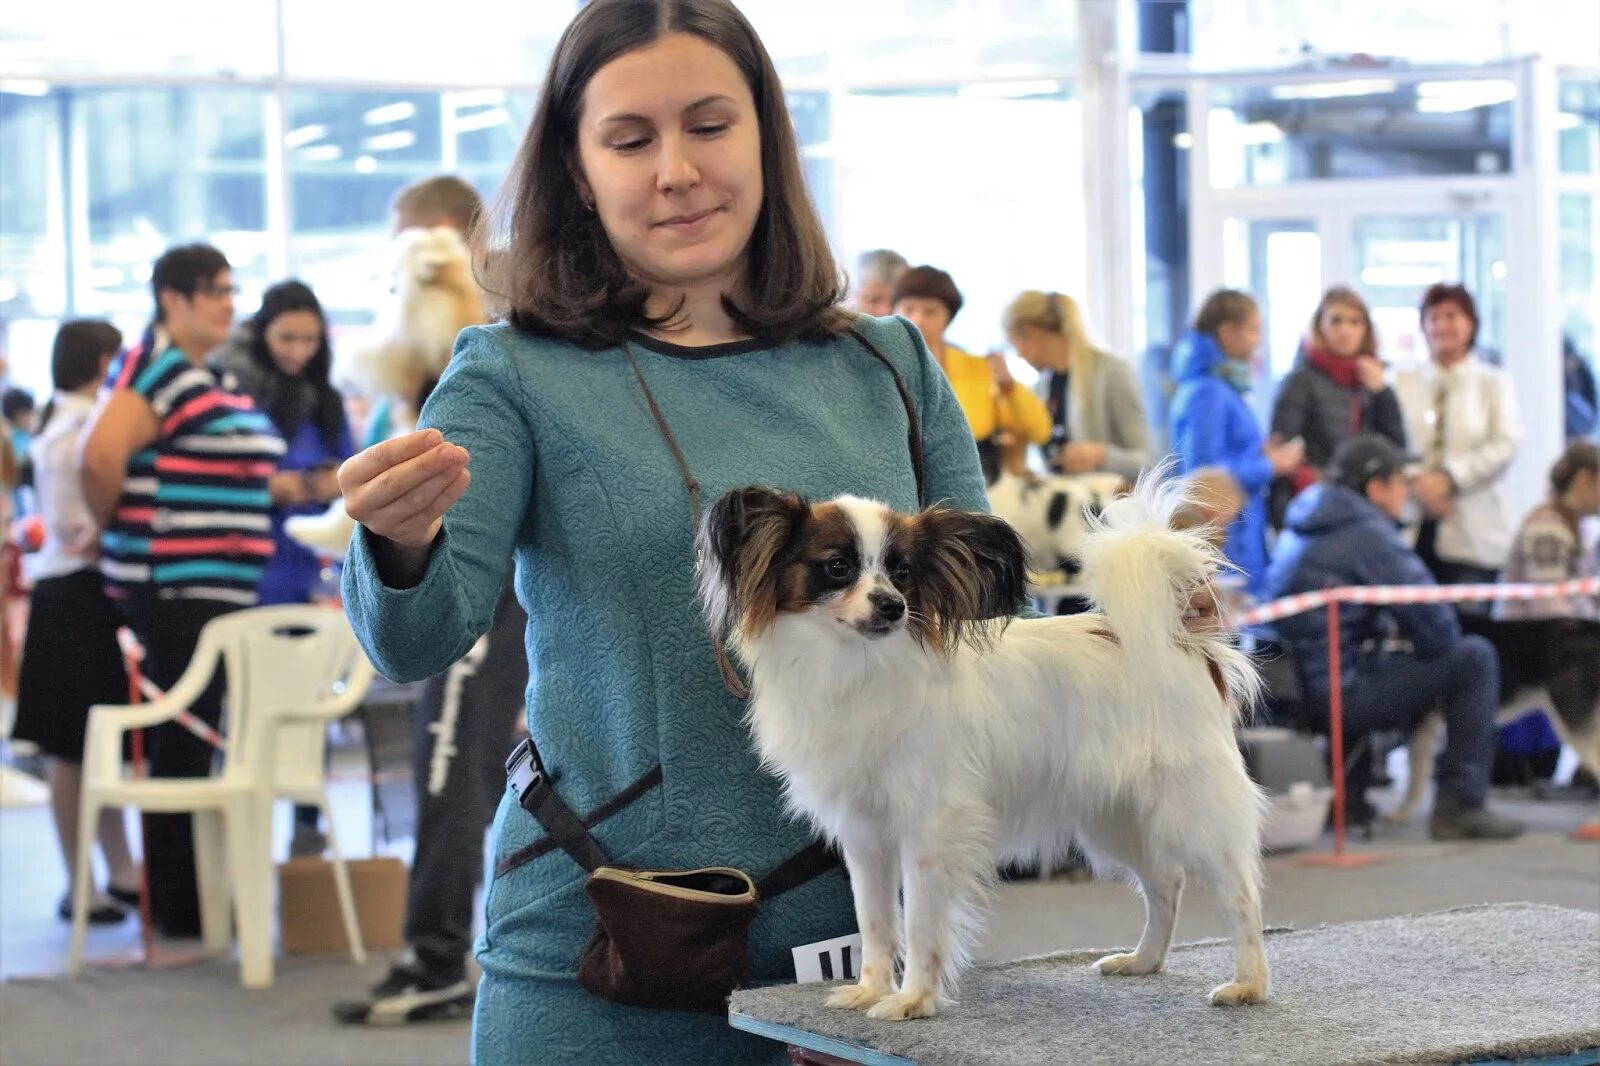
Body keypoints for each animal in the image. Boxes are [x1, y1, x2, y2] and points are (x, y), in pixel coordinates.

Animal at [289, 222, 483, 557]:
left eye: (393, 280)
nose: (389, 286)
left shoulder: (404, 346)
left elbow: (373, 353)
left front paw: (343, 369)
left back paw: (306, 530)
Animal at [694, 473, 1267, 1024]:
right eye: (837, 567)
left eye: (903, 573)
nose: (893, 606)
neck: (857, 666)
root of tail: (1182, 641)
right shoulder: (865, 835)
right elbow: (875, 923)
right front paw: (870, 990)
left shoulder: (931, 830)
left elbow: (919, 924)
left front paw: (911, 1001)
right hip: (1115, 817)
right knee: (1166, 882)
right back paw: (1144, 961)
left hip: (1189, 806)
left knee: (1240, 893)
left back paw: (1249, 984)